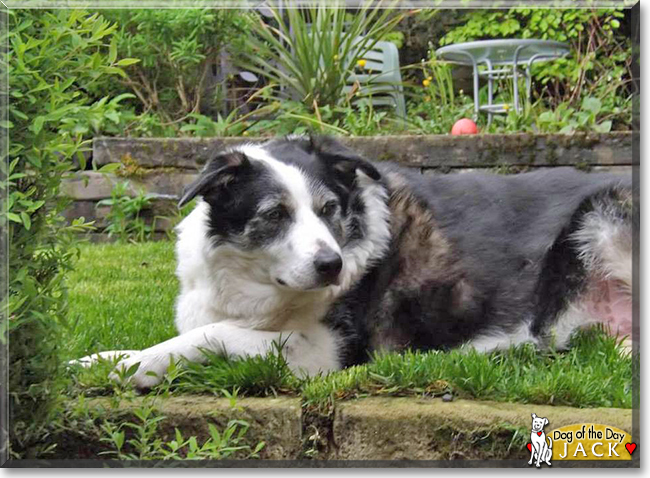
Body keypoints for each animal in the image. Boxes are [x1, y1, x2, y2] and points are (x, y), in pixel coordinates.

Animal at [72, 135, 632, 388]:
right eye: (275, 214)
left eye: (329, 209)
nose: (332, 266)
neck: (259, 286)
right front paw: (109, 360)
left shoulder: (325, 352)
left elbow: (211, 335)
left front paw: (124, 367)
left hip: (606, 214)